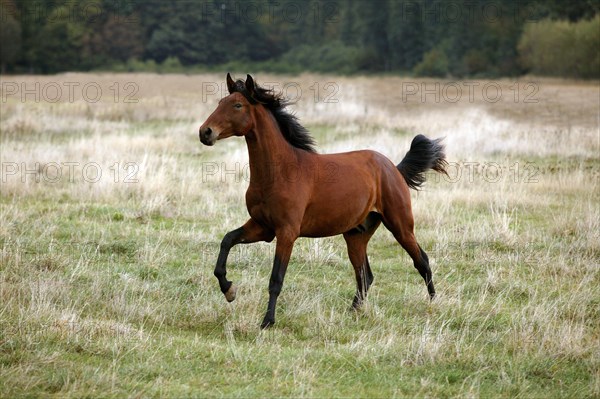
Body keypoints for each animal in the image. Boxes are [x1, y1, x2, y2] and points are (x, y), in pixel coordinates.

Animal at [199, 74, 448, 328]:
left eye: (238, 105)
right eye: (220, 102)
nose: (205, 132)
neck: (280, 172)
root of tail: (393, 168)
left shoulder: (286, 232)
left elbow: (276, 278)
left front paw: (267, 321)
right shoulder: (262, 227)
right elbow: (227, 240)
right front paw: (229, 290)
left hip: (400, 225)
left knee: (422, 261)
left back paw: (433, 305)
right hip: (356, 235)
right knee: (365, 275)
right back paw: (352, 312)